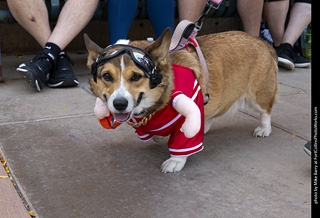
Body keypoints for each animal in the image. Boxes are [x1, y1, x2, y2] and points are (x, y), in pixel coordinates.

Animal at [84, 28, 278, 174]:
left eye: (136, 76)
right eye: (107, 76)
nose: (119, 104)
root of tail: (262, 41)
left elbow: (182, 142)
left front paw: (175, 161)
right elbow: (156, 135)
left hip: (259, 96)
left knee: (266, 111)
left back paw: (264, 128)